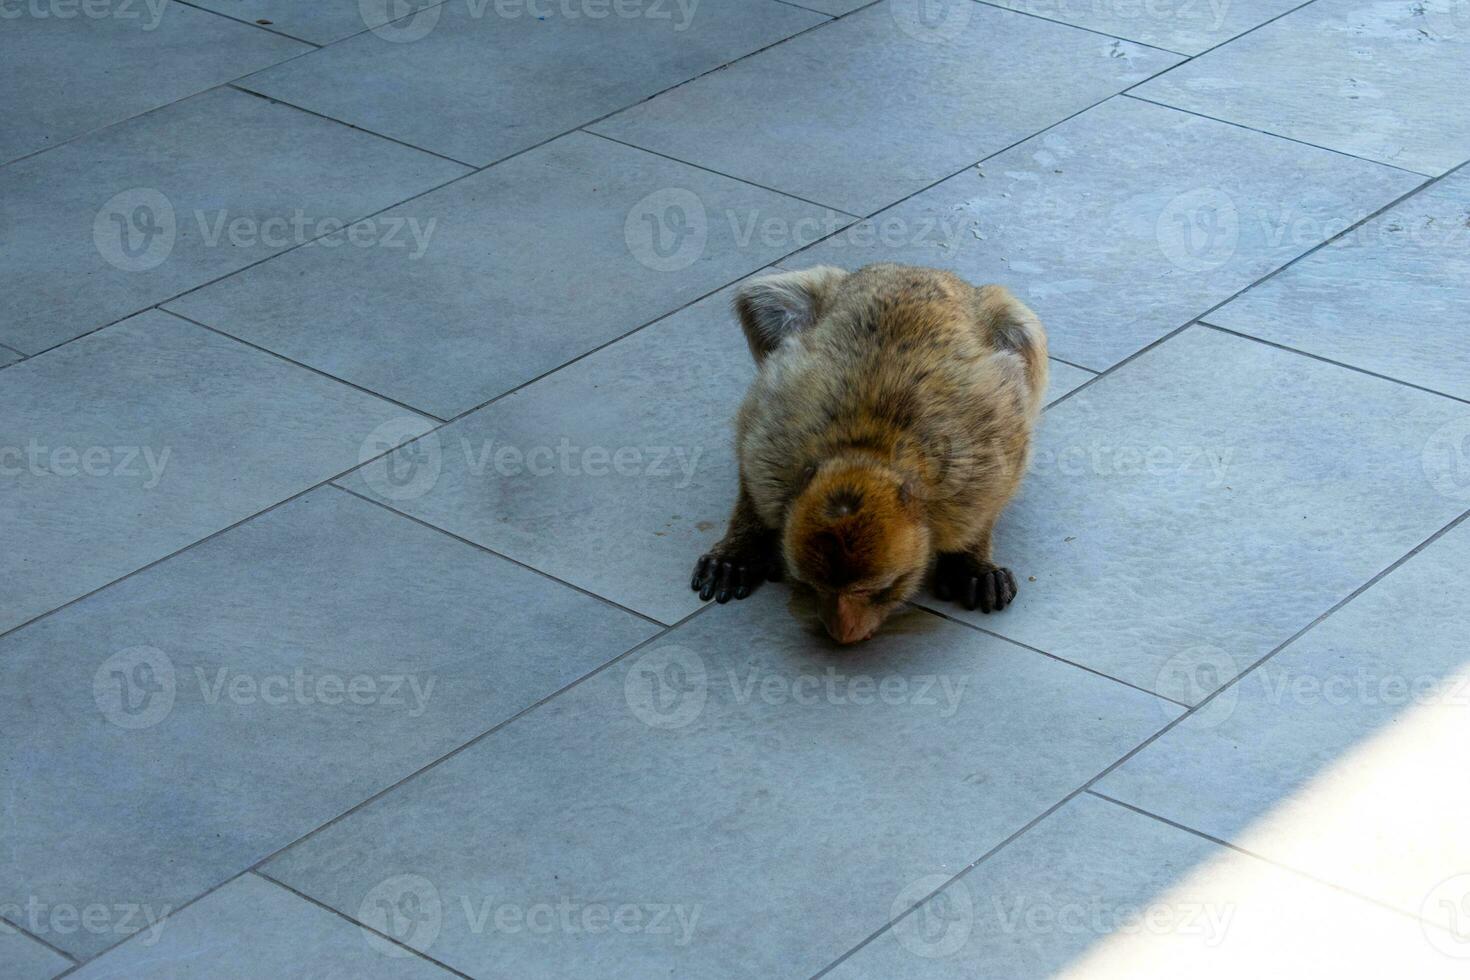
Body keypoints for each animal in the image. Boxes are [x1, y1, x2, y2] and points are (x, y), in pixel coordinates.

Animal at [687, 262, 1046, 643]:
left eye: (873, 590)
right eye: (815, 588)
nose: (841, 632)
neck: (869, 448)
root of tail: (914, 267)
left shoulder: (979, 463)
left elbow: (993, 491)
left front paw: (971, 562)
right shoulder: (773, 446)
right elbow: (751, 460)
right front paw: (741, 546)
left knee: (1023, 335)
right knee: (757, 298)